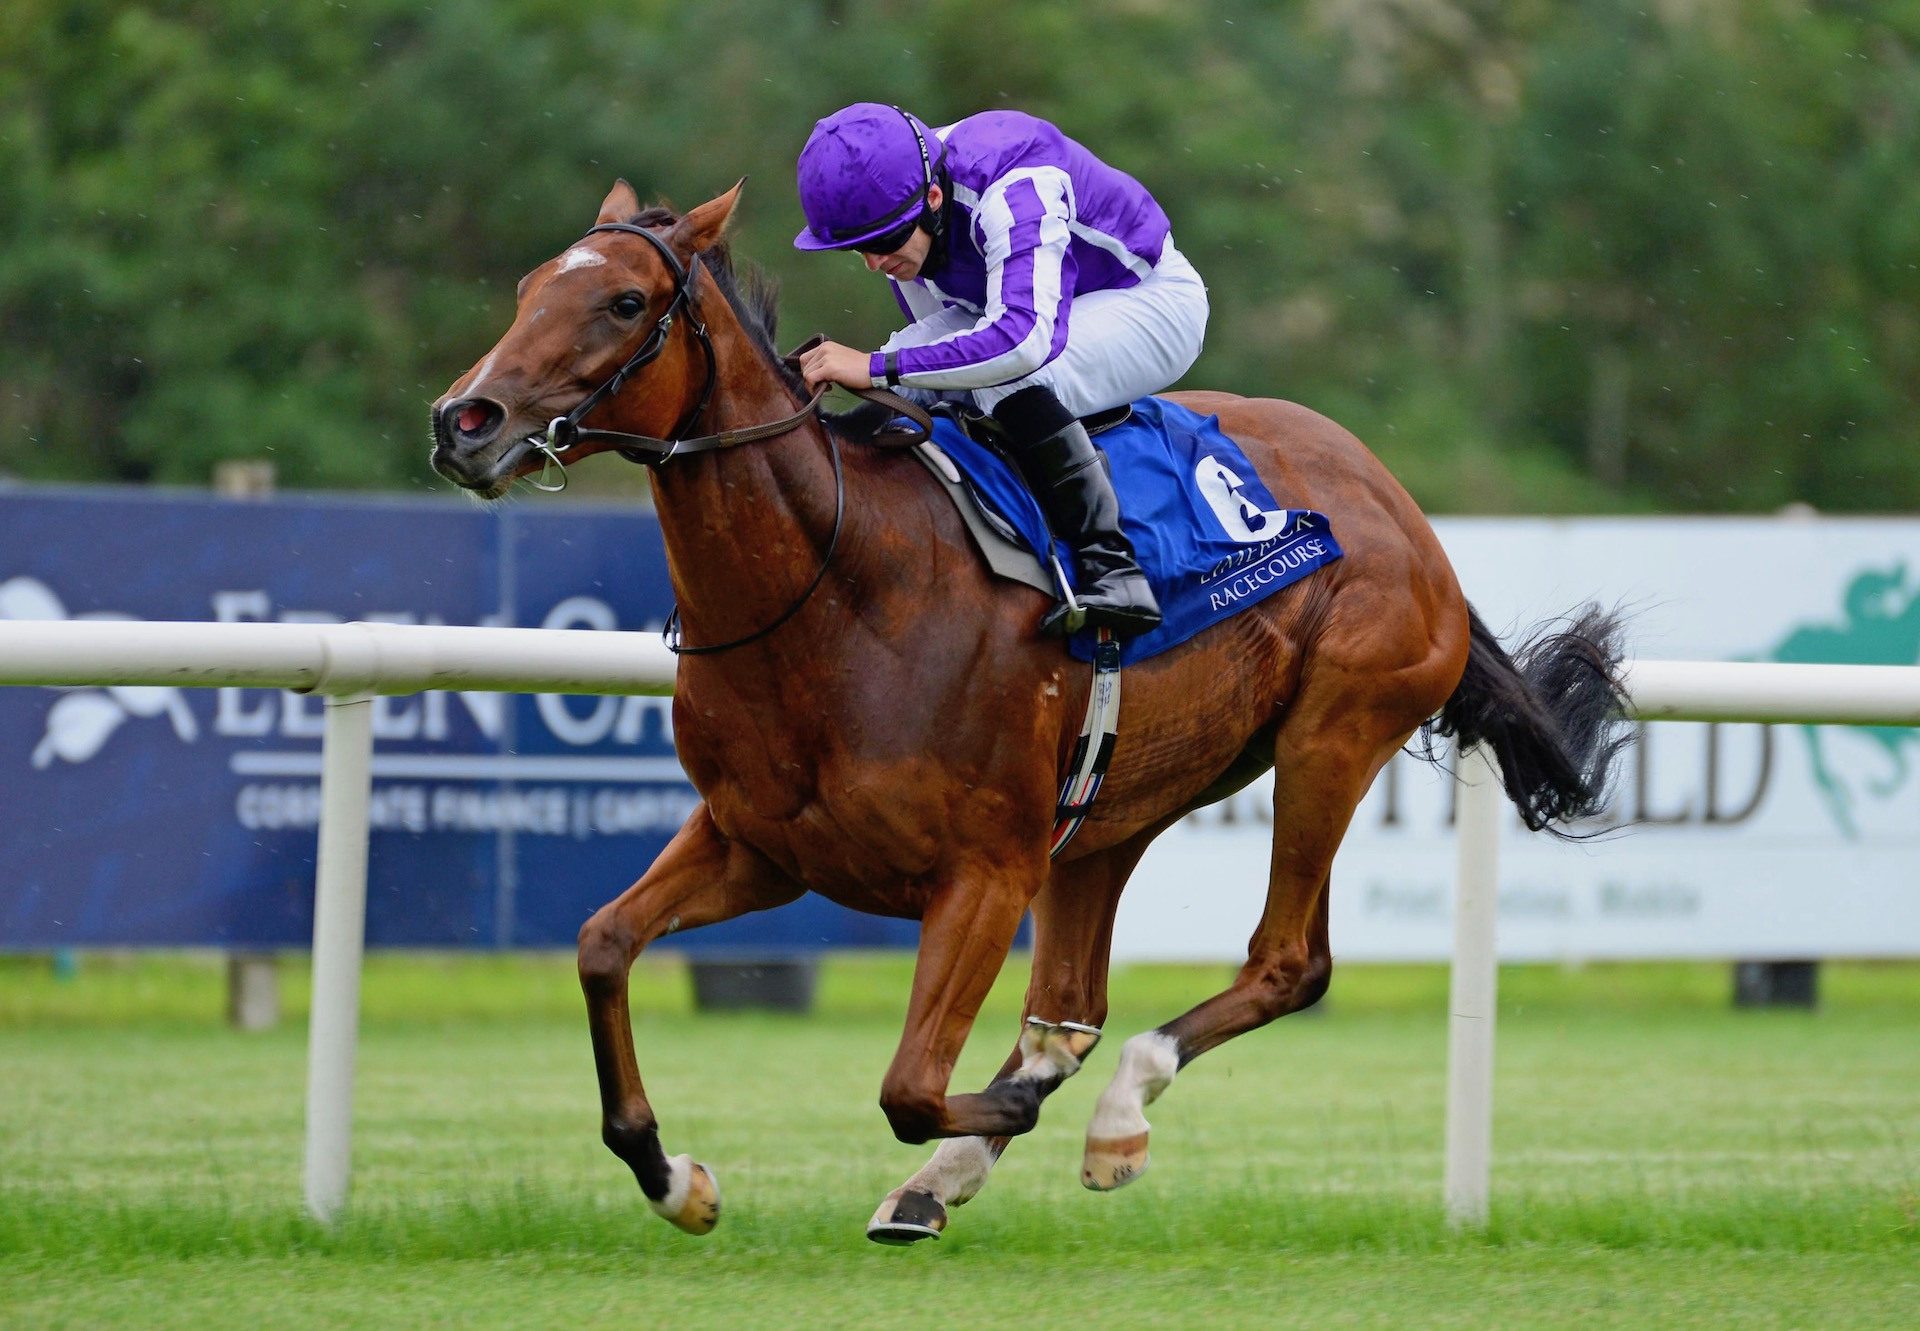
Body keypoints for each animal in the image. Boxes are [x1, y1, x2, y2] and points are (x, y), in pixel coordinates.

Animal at [428, 181, 1628, 1244]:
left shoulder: (984, 869)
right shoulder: (758, 843)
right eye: (529, 287)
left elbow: (910, 1083)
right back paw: (964, 1164)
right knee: (1074, 998)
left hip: (1332, 734)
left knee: (1285, 963)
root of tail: (1403, 509)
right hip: (1111, 805)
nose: (462, 419)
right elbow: (602, 944)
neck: (835, 585)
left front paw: (1001, 1113)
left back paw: (1111, 1117)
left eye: (624, 302)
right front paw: (675, 1176)